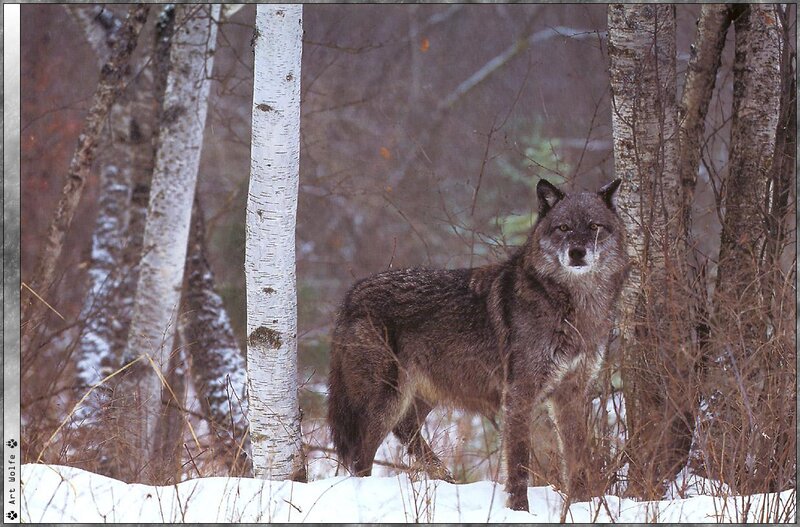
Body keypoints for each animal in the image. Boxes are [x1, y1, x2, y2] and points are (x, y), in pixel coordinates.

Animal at [327, 178, 628, 511]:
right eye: (563, 227)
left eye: (594, 226)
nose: (577, 252)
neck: (573, 307)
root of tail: (350, 295)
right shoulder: (519, 395)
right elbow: (519, 463)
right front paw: (520, 511)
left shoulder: (571, 395)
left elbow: (579, 460)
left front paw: (581, 506)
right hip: (386, 398)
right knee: (360, 455)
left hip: (424, 394)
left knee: (405, 428)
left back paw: (444, 477)